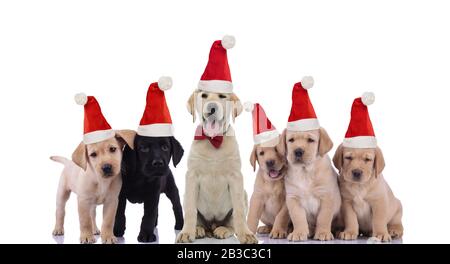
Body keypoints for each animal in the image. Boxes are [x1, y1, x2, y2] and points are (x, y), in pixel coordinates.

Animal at [51, 93, 134, 243]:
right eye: (93, 155)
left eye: (113, 149)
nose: (106, 167)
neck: (101, 181)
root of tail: (68, 162)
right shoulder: (83, 201)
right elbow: (84, 221)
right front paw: (86, 236)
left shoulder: (112, 201)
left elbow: (108, 221)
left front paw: (107, 236)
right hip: (62, 193)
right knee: (60, 211)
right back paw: (58, 229)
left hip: (92, 204)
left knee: (93, 215)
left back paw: (95, 230)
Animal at [112, 77, 185, 242]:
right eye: (144, 148)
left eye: (165, 147)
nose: (158, 163)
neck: (140, 176)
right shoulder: (120, 194)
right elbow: (119, 213)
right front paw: (117, 231)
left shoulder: (152, 194)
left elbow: (148, 215)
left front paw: (146, 234)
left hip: (171, 189)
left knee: (176, 206)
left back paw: (180, 225)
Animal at [178, 35, 258, 243]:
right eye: (204, 95)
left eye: (222, 96)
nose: (212, 107)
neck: (214, 141)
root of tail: (212, 225)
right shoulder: (191, 177)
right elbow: (190, 211)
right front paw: (187, 232)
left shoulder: (236, 178)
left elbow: (239, 211)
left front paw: (246, 234)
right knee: (197, 217)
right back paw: (198, 229)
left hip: (244, 193)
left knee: (231, 221)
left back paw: (224, 230)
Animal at [244, 102, 290, 238]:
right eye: (261, 153)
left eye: (277, 149)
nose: (269, 162)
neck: (273, 182)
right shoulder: (257, 198)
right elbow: (252, 216)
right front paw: (249, 231)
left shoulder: (287, 201)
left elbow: (281, 216)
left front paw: (278, 230)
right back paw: (266, 228)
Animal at [332, 92, 402, 241]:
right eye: (348, 158)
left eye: (368, 159)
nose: (357, 172)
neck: (360, 187)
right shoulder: (347, 203)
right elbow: (351, 219)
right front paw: (350, 232)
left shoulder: (379, 203)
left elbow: (379, 220)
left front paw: (381, 233)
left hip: (397, 208)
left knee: (397, 224)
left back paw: (393, 231)